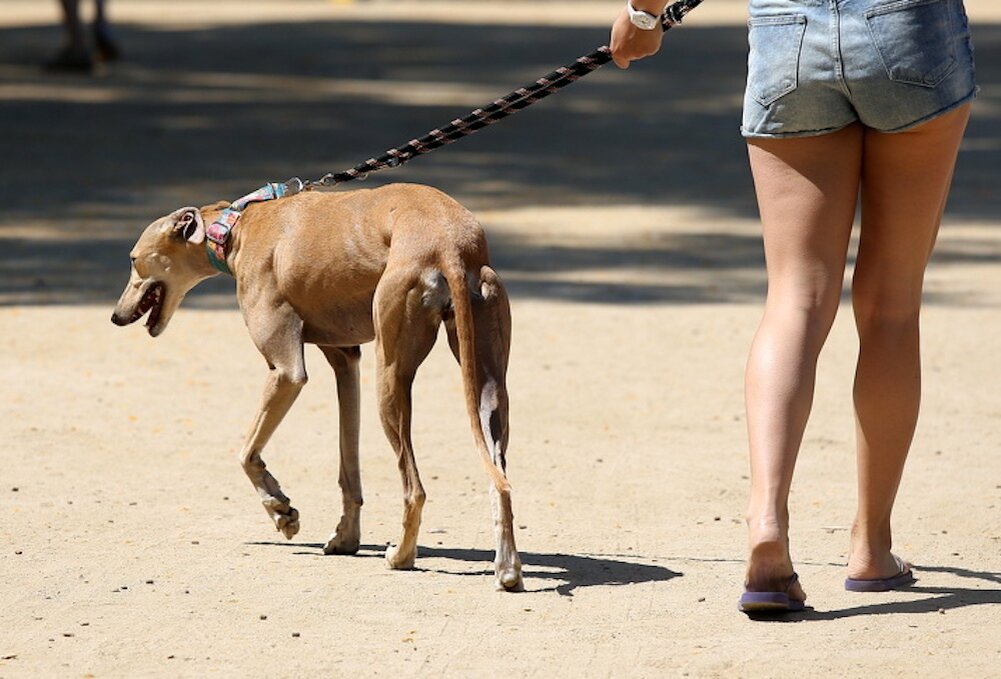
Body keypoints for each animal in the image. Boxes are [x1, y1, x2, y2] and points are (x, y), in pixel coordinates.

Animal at [113, 185, 524, 588]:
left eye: (133, 259)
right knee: (500, 480)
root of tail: (450, 245)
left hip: (391, 378)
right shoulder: (346, 360)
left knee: (415, 488)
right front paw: (345, 537)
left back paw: (401, 557)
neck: (236, 227)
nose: (116, 316)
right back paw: (507, 570)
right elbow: (348, 467)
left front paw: (281, 511)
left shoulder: (286, 371)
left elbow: (246, 452)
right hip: (488, 387)